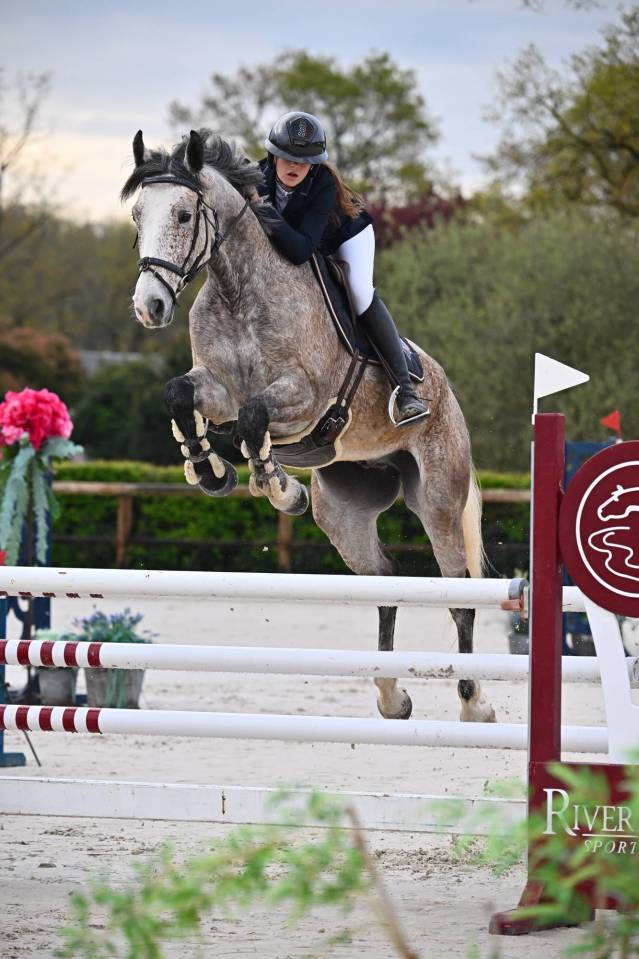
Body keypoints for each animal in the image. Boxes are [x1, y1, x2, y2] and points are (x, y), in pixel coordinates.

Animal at [122, 128, 495, 724]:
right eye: (138, 214)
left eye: (182, 214)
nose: (150, 306)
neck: (238, 287)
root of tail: (445, 391)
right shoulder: (217, 390)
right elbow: (182, 395)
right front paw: (213, 472)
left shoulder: (304, 398)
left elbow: (254, 420)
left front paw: (278, 487)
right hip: (344, 508)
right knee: (384, 580)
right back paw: (391, 696)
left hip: (438, 496)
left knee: (459, 592)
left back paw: (473, 703)